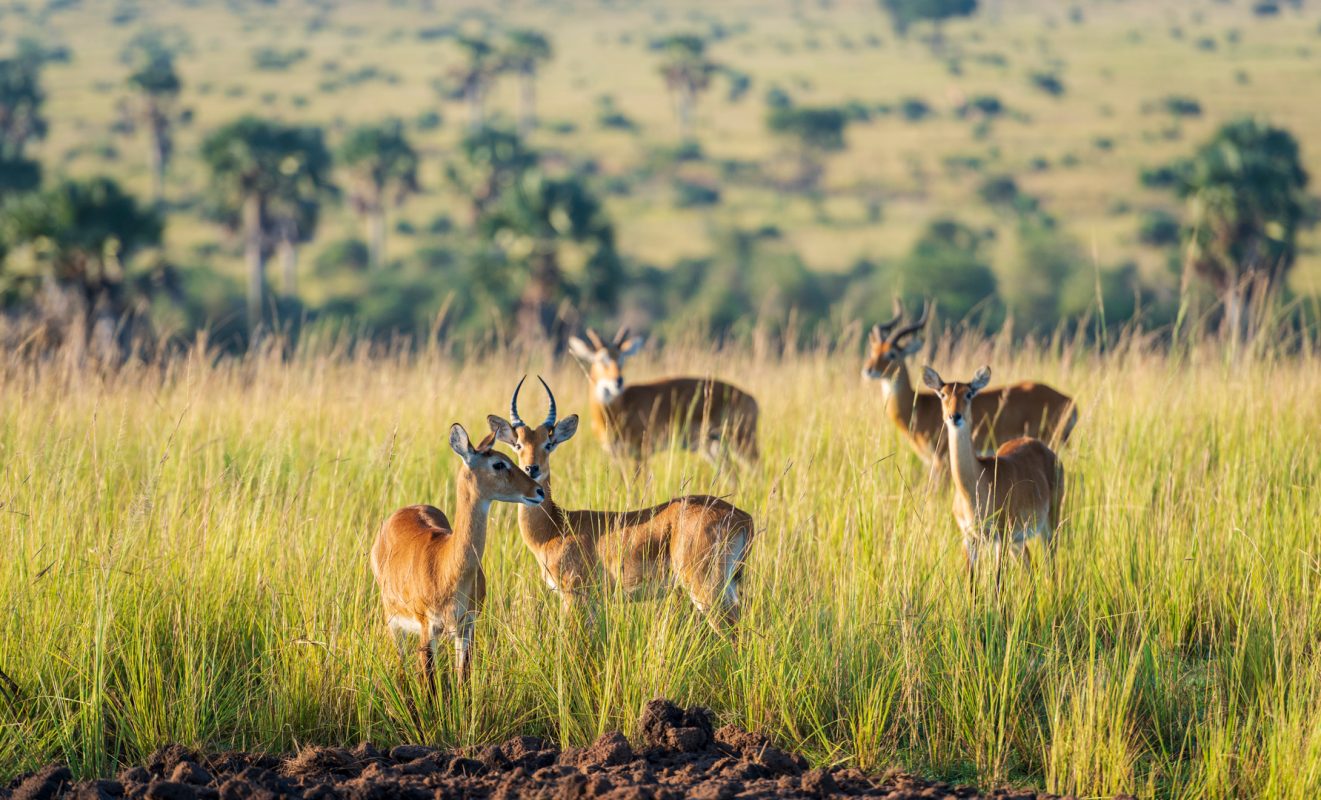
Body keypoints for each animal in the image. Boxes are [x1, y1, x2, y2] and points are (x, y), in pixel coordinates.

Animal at [369, 422, 544, 691]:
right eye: (498, 463)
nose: (538, 490)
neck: (446, 566)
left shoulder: (466, 627)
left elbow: (463, 680)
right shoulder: (427, 629)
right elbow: (430, 686)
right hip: (394, 623)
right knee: (401, 666)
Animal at [486, 374, 755, 633]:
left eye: (548, 444)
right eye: (518, 444)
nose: (532, 468)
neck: (554, 528)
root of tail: (744, 518)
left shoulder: (574, 596)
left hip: (705, 588)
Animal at [562, 327, 760, 467]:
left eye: (622, 359)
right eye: (600, 359)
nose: (617, 381)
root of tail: (751, 398)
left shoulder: (642, 452)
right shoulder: (615, 456)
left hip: (743, 443)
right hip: (713, 448)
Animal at [861, 303, 1077, 483]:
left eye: (891, 354)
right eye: (873, 350)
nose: (868, 370)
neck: (919, 407)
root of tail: (1070, 402)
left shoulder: (942, 462)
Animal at [924, 366, 1067, 591]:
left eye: (969, 393)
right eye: (943, 394)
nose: (954, 416)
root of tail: (1046, 450)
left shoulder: (1001, 536)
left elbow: (998, 585)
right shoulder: (970, 538)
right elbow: (972, 585)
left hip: (1048, 526)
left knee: (1050, 569)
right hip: (1019, 541)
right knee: (1032, 569)